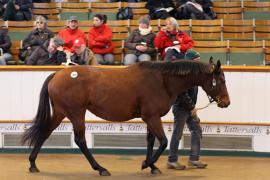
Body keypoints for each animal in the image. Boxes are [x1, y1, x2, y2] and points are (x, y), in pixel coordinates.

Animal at [22, 58, 230, 176]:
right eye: (221, 80)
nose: (226, 102)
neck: (162, 80)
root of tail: (57, 74)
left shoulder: (150, 117)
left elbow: (151, 140)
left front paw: (153, 166)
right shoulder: (151, 116)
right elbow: (163, 141)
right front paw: (147, 163)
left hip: (61, 112)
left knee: (45, 132)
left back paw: (32, 164)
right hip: (76, 113)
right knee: (80, 140)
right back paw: (100, 168)